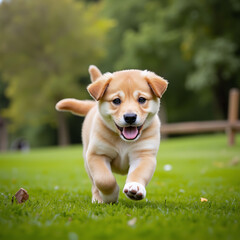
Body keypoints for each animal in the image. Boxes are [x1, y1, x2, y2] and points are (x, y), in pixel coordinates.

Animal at [55, 65, 168, 202]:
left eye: (141, 99)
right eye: (116, 101)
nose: (130, 117)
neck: (123, 141)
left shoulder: (143, 155)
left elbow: (138, 173)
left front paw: (134, 187)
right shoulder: (97, 154)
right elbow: (104, 180)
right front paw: (111, 195)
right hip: (87, 161)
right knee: (94, 184)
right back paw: (97, 199)